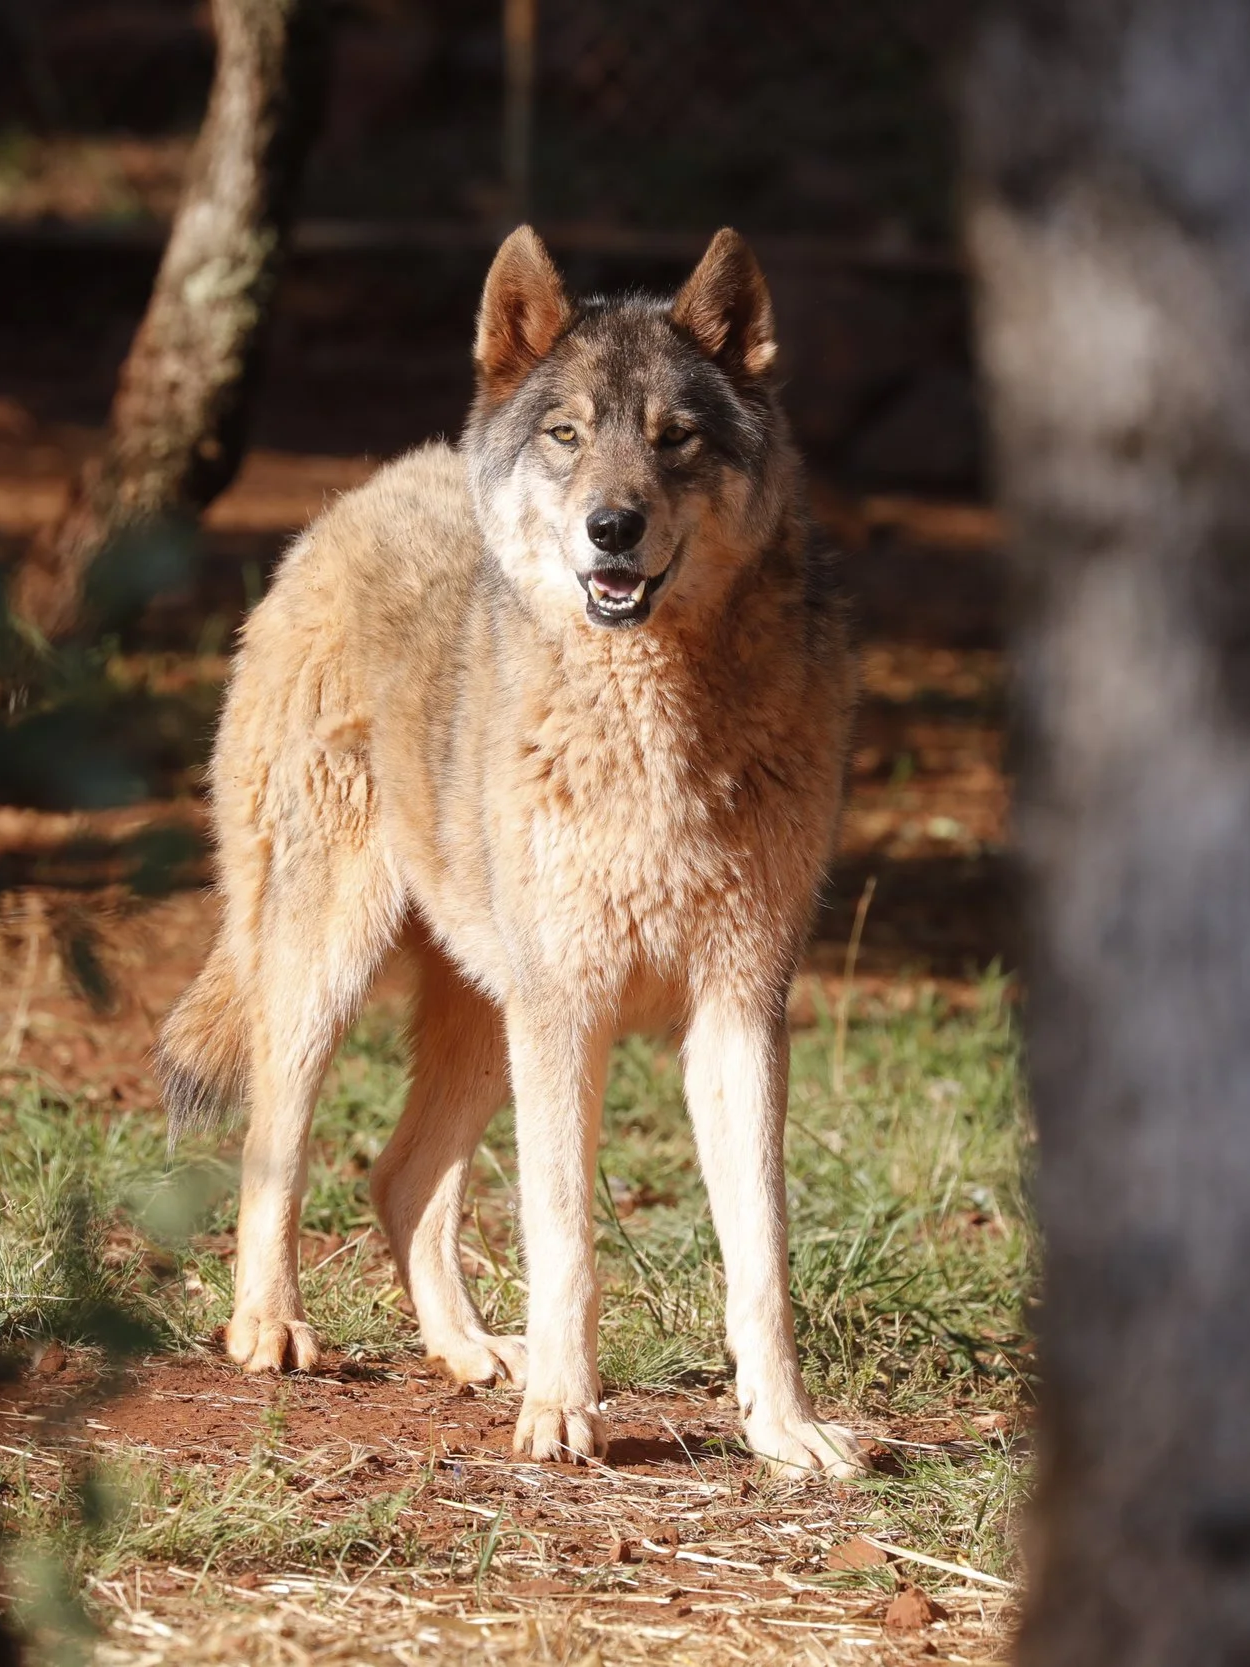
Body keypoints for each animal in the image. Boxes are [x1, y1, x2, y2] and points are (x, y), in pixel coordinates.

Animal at [156, 226, 863, 1476]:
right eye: (567, 434)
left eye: (674, 438)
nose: (611, 528)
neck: (653, 721)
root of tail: (370, 486)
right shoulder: (567, 1009)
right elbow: (565, 1236)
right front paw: (565, 1415)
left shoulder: (738, 1007)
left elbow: (761, 1254)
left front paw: (783, 1429)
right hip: (334, 975)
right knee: (277, 1148)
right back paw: (271, 1328)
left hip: (489, 1013)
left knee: (396, 1178)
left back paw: (475, 1353)